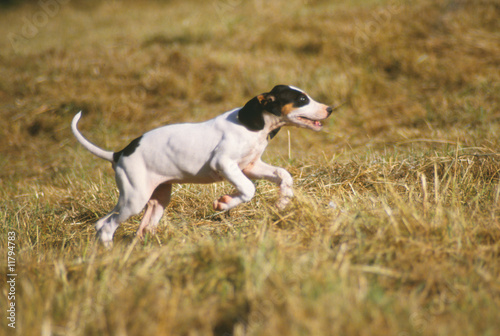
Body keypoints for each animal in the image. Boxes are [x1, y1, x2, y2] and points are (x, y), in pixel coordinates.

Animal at [71, 85, 332, 245]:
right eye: (301, 99)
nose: (330, 109)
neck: (255, 125)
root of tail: (120, 153)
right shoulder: (224, 163)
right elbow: (248, 189)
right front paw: (224, 203)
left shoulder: (250, 166)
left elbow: (284, 174)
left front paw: (283, 201)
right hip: (135, 198)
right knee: (107, 226)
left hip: (156, 198)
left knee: (119, 225)